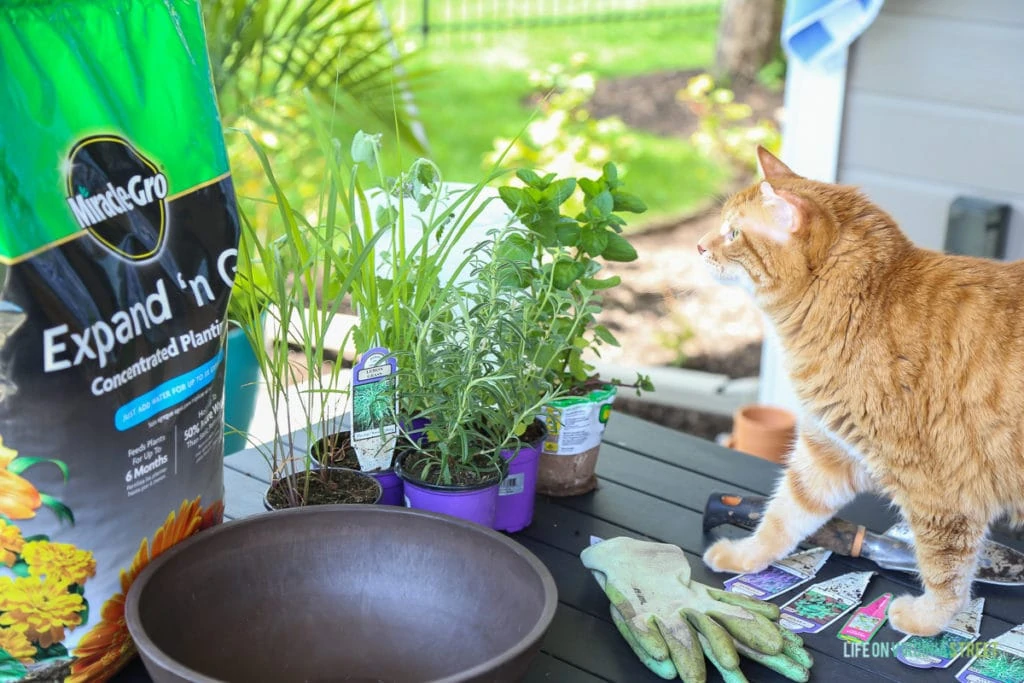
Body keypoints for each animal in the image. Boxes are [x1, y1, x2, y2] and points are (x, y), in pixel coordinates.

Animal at [700, 147, 1024, 638]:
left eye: (733, 233)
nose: (699, 246)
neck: (863, 305)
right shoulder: (826, 454)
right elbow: (783, 516)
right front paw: (746, 555)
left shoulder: (939, 491)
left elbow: (945, 570)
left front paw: (928, 619)